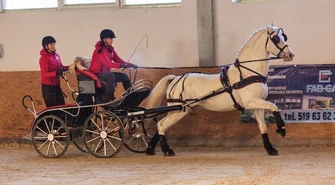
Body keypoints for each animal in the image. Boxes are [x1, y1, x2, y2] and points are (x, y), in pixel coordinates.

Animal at [146, 23, 296, 156]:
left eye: (284, 37)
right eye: (276, 39)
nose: (290, 54)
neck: (247, 73)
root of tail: (176, 78)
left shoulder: (256, 105)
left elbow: (263, 126)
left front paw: (270, 149)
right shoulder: (251, 102)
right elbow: (274, 106)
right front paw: (282, 129)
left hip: (178, 110)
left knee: (161, 125)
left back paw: (151, 149)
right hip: (179, 110)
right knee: (162, 125)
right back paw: (167, 151)